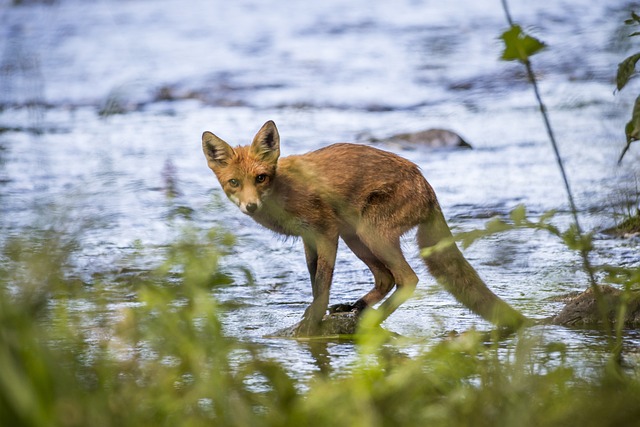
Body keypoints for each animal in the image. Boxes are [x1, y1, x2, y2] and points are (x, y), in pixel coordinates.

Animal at [202, 121, 528, 338]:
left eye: (261, 178)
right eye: (234, 183)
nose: (251, 206)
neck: (283, 192)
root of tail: (427, 185)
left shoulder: (326, 231)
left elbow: (322, 282)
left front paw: (312, 320)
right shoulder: (310, 238)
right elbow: (314, 280)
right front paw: (314, 314)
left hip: (370, 233)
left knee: (407, 279)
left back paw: (372, 319)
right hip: (356, 237)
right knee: (385, 278)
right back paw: (357, 308)